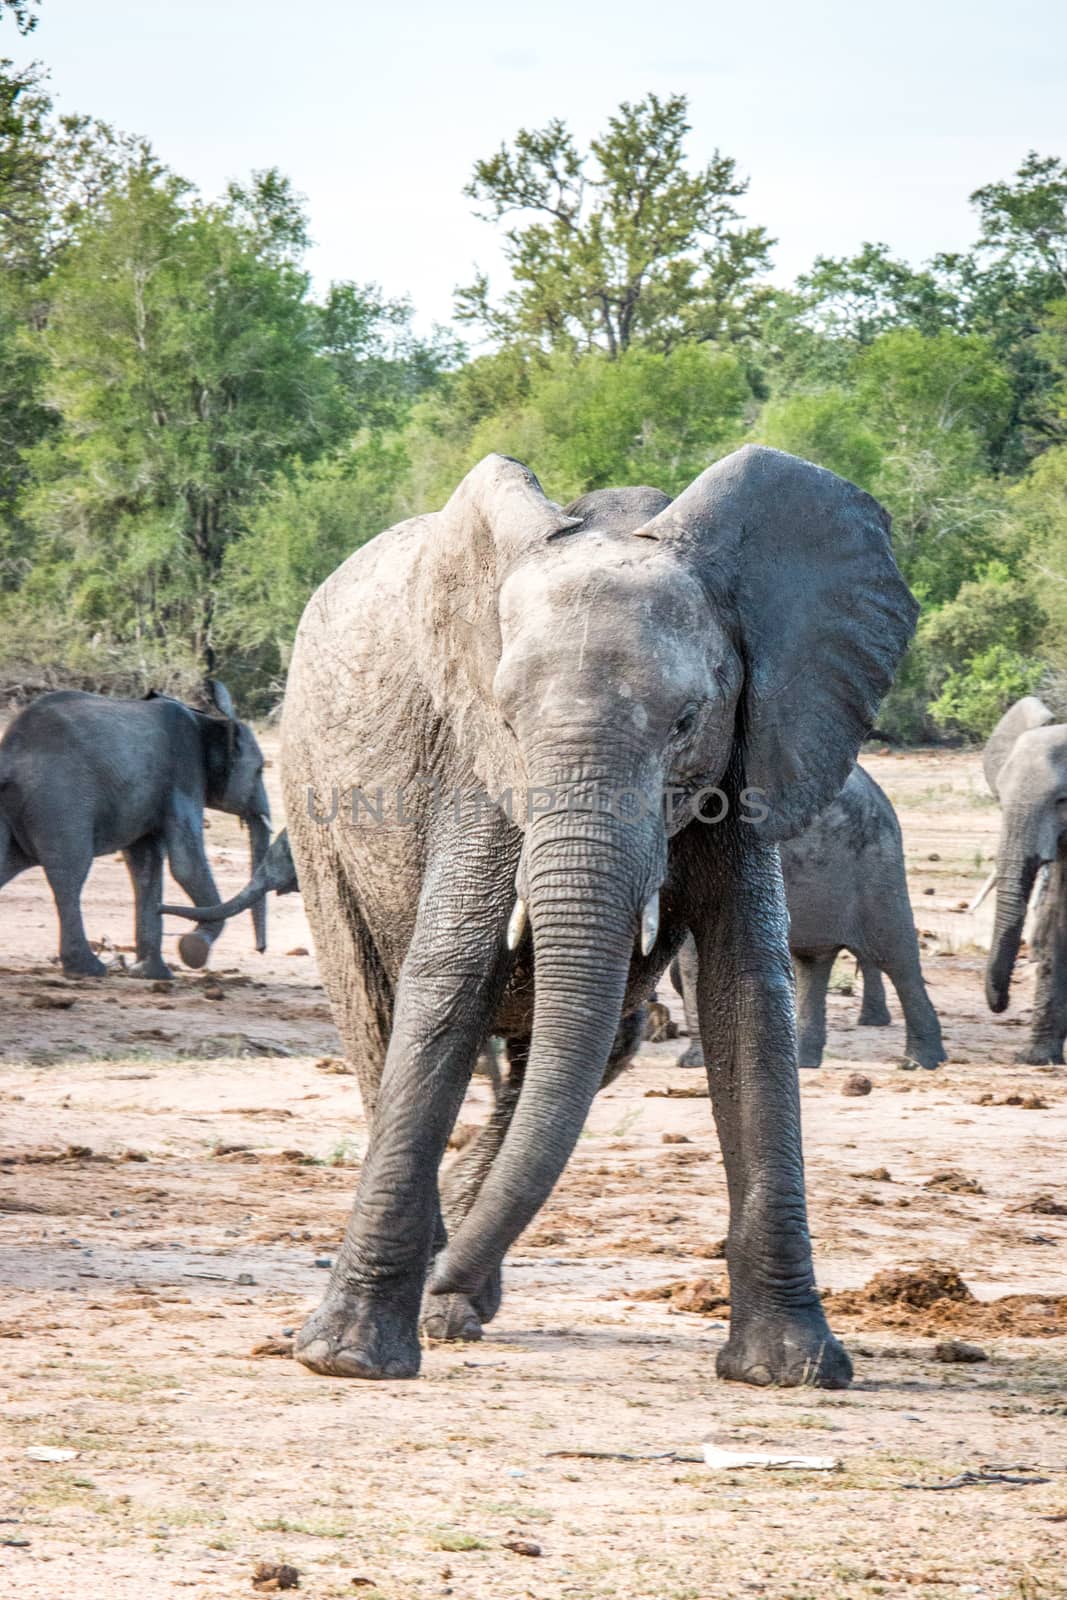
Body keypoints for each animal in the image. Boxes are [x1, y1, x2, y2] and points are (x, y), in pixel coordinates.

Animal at [0, 678, 271, 972]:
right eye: (260, 770)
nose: (261, 950)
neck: (209, 720)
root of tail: (9, 756)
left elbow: (146, 862)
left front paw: (152, 973)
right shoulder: (184, 772)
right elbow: (186, 864)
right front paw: (193, 950)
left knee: (9, 864)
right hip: (60, 800)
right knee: (69, 871)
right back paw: (88, 968)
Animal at [271, 441, 915, 1388]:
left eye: (685, 720)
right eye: (506, 717)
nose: (442, 1280)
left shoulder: (751, 754)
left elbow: (744, 996)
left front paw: (790, 1372)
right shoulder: (476, 775)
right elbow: (450, 979)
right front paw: (345, 1362)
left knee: (591, 1043)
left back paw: (457, 1300)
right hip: (311, 801)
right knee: (374, 1015)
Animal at [671, 764, 947, 1068]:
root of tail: (879, 794)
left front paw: (693, 1062)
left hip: (876, 868)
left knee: (894, 958)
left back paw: (920, 1060)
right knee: (813, 962)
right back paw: (803, 1060)